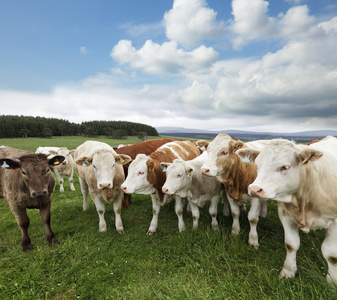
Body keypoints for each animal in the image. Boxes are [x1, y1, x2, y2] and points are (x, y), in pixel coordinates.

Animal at [236, 137, 336, 286]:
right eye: (257, 165)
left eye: (285, 167)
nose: (254, 189)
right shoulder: (285, 215)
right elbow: (291, 244)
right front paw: (288, 271)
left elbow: (331, 254)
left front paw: (333, 281)